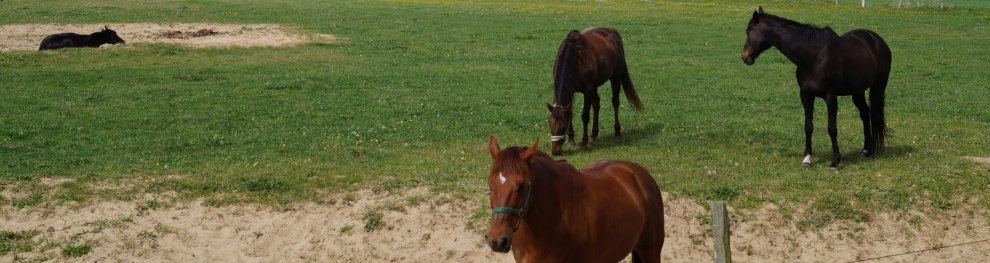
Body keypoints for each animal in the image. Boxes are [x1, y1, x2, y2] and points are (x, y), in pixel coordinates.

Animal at [740, 7, 896, 169]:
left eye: (749, 31)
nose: (744, 57)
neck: (813, 57)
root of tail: (876, 40)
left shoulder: (830, 96)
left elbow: (832, 128)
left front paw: (835, 161)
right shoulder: (806, 95)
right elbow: (808, 126)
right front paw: (807, 159)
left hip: (878, 88)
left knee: (875, 116)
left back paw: (872, 150)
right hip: (857, 91)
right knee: (865, 114)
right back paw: (865, 149)